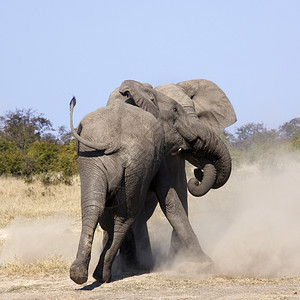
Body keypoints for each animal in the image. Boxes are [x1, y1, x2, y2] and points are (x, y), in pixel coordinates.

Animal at [68, 80, 220, 286]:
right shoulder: (157, 152)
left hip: (95, 160)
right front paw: (206, 264)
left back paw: (82, 274)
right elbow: (170, 200)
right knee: (125, 215)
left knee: (95, 206)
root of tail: (114, 141)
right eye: (175, 110)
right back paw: (103, 274)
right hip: (129, 162)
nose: (197, 174)